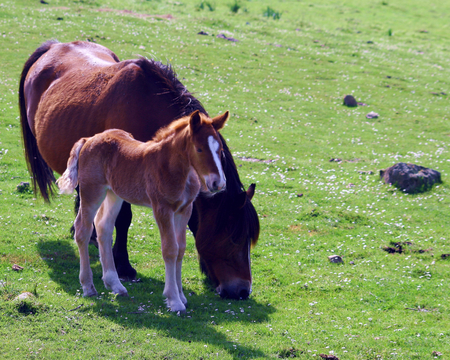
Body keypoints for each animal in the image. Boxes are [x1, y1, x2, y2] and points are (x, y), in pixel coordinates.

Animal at [56, 110, 229, 312]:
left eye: (220, 150)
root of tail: (88, 139)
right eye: (199, 149)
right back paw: (88, 287)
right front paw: (174, 300)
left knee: (103, 228)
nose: (218, 183)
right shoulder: (162, 209)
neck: (176, 170)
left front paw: (181, 296)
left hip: (114, 194)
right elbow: (170, 249)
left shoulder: (184, 210)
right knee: (82, 230)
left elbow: (181, 249)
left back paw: (115, 284)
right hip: (92, 191)